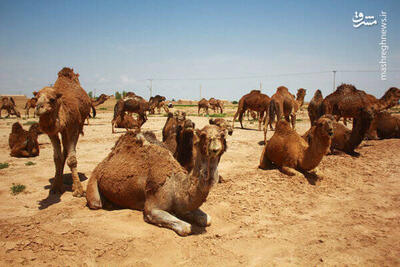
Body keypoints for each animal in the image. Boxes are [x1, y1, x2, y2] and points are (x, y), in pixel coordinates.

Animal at [34, 68, 91, 198]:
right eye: (36, 98)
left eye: (52, 99)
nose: (38, 107)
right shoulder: (52, 132)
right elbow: (57, 158)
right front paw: (56, 187)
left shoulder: (73, 127)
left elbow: (72, 159)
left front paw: (79, 190)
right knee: (64, 152)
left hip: (77, 126)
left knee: (68, 152)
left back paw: (73, 184)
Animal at [86, 125, 227, 237]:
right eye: (203, 135)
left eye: (222, 135)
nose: (215, 148)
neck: (176, 186)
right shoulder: (152, 208)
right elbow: (186, 228)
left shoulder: (183, 205)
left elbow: (207, 220)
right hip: (94, 178)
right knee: (95, 203)